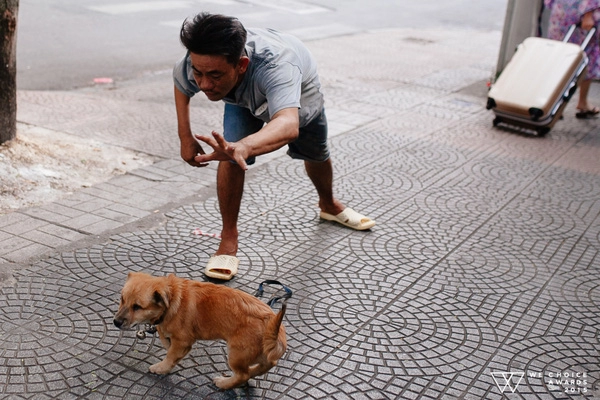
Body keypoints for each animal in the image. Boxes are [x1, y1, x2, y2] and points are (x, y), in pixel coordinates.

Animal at [116, 272, 290, 388]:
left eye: (137, 307)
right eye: (122, 299)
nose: (115, 322)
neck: (172, 299)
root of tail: (272, 324)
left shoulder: (183, 341)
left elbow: (170, 355)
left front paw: (161, 368)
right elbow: (165, 340)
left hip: (236, 353)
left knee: (243, 375)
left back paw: (224, 383)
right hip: (257, 354)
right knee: (267, 364)